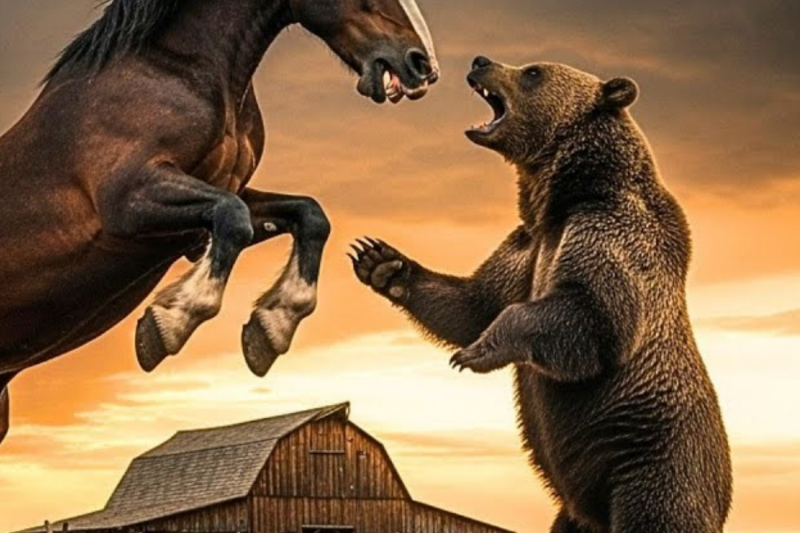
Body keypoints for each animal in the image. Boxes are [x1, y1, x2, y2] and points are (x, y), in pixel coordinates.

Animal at [0, 0, 439, 445]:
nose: (421, 65)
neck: (177, 70)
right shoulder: (127, 201)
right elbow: (233, 219)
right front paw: (168, 323)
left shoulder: (216, 204)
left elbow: (309, 216)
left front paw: (271, 327)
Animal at [351, 56, 732, 533]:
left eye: (533, 72)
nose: (480, 61)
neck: (560, 197)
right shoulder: (526, 245)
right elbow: (475, 303)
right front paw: (379, 260)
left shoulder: (609, 231)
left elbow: (591, 313)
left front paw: (475, 352)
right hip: (578, 510)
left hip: (653, 464)